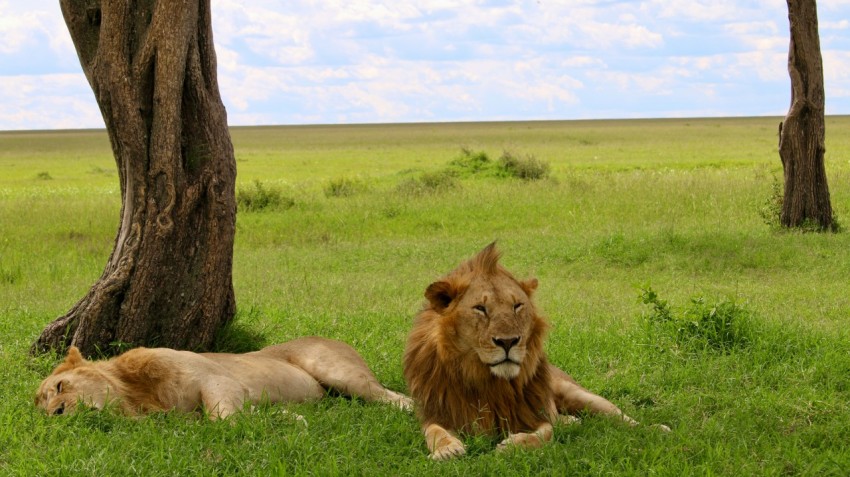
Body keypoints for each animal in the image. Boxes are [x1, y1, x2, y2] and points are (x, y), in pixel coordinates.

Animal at [400, 244, 660, 460]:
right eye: (480, 308)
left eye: (517, 306)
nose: (508, 342)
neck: (487, 380)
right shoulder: (437, 412)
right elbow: (435, 432)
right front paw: (447, 450)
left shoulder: (535, 412)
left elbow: (546, 433)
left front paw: (512, 445)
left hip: (580, 395)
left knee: (621, 416)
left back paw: (657, 429)